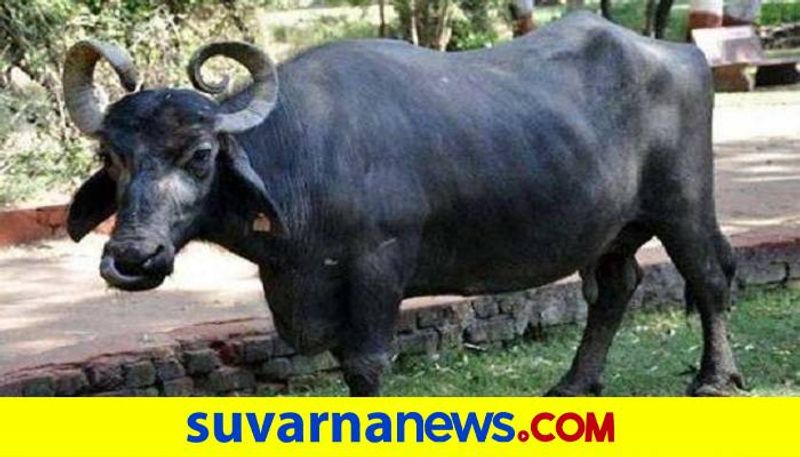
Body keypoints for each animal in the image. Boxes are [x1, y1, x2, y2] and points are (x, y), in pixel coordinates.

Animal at [63, 12, 742, 396]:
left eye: (201, 154)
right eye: (111, 157)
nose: (133, 258)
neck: (306, 154)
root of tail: (678, 52)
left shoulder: (378, 266)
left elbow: (366, 364)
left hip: (683, 204)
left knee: (708, 277)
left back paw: (714, 380)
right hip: (608, 228)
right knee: (615, 288)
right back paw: (575, 384)